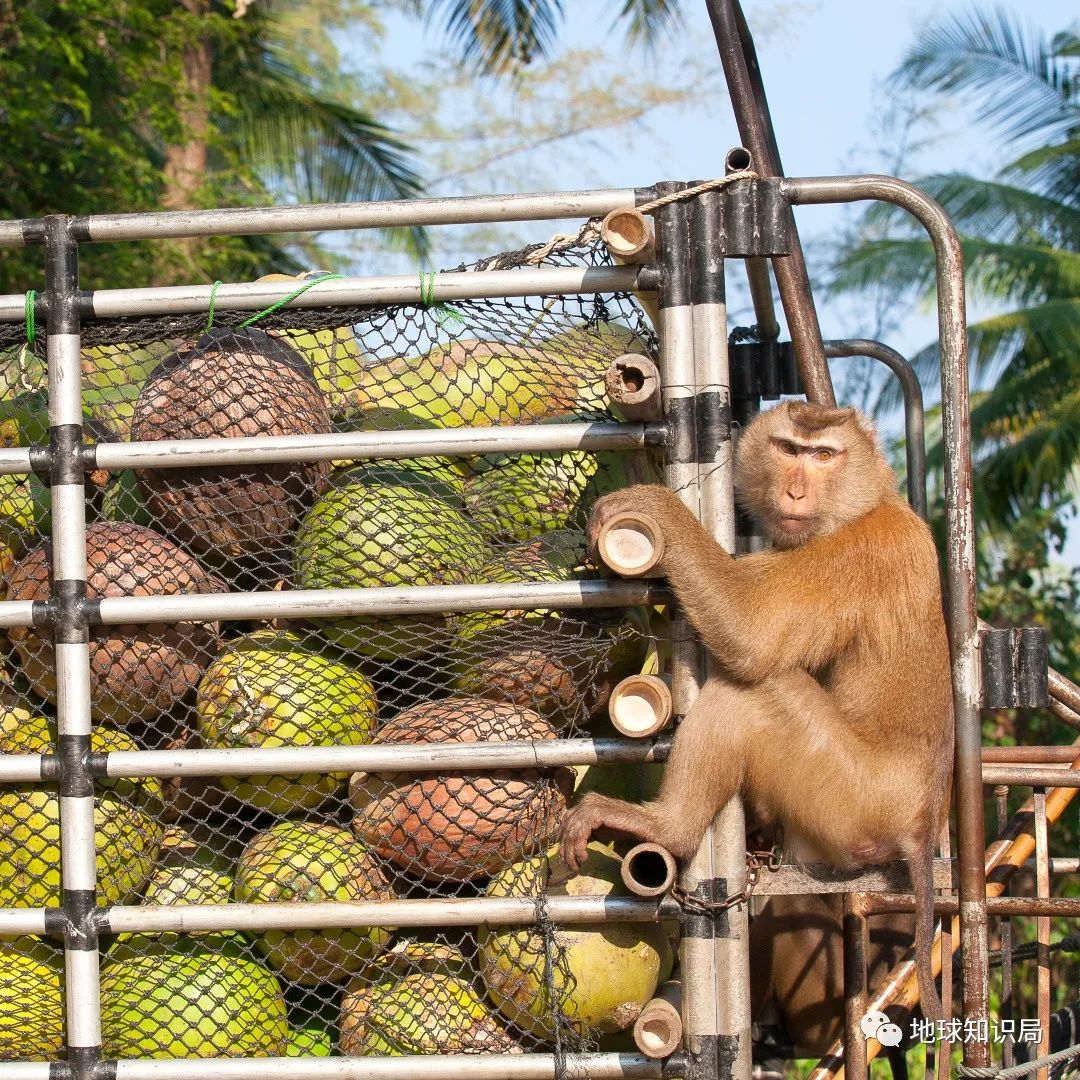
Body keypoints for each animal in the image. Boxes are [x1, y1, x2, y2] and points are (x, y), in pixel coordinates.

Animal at [561, 401, 950, 1015]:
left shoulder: (860, 549)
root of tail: (918, 822)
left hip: (848, 796)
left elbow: (752, 633)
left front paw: (653, 504)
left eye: (823, 455)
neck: (867, 501)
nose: (795, 490)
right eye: (790, 449)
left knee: (752, 692)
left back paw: (670, 828)